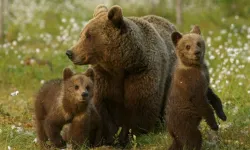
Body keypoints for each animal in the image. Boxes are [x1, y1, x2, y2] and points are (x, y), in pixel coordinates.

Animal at [65, 4, 226, 145]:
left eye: (88, 35)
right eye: (82, 34)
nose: (70, 52)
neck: (121, 64)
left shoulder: (142, 72)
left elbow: (141, 105)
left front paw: (130, 136)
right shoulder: (104, 76)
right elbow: (103, 104)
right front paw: (107, 138)